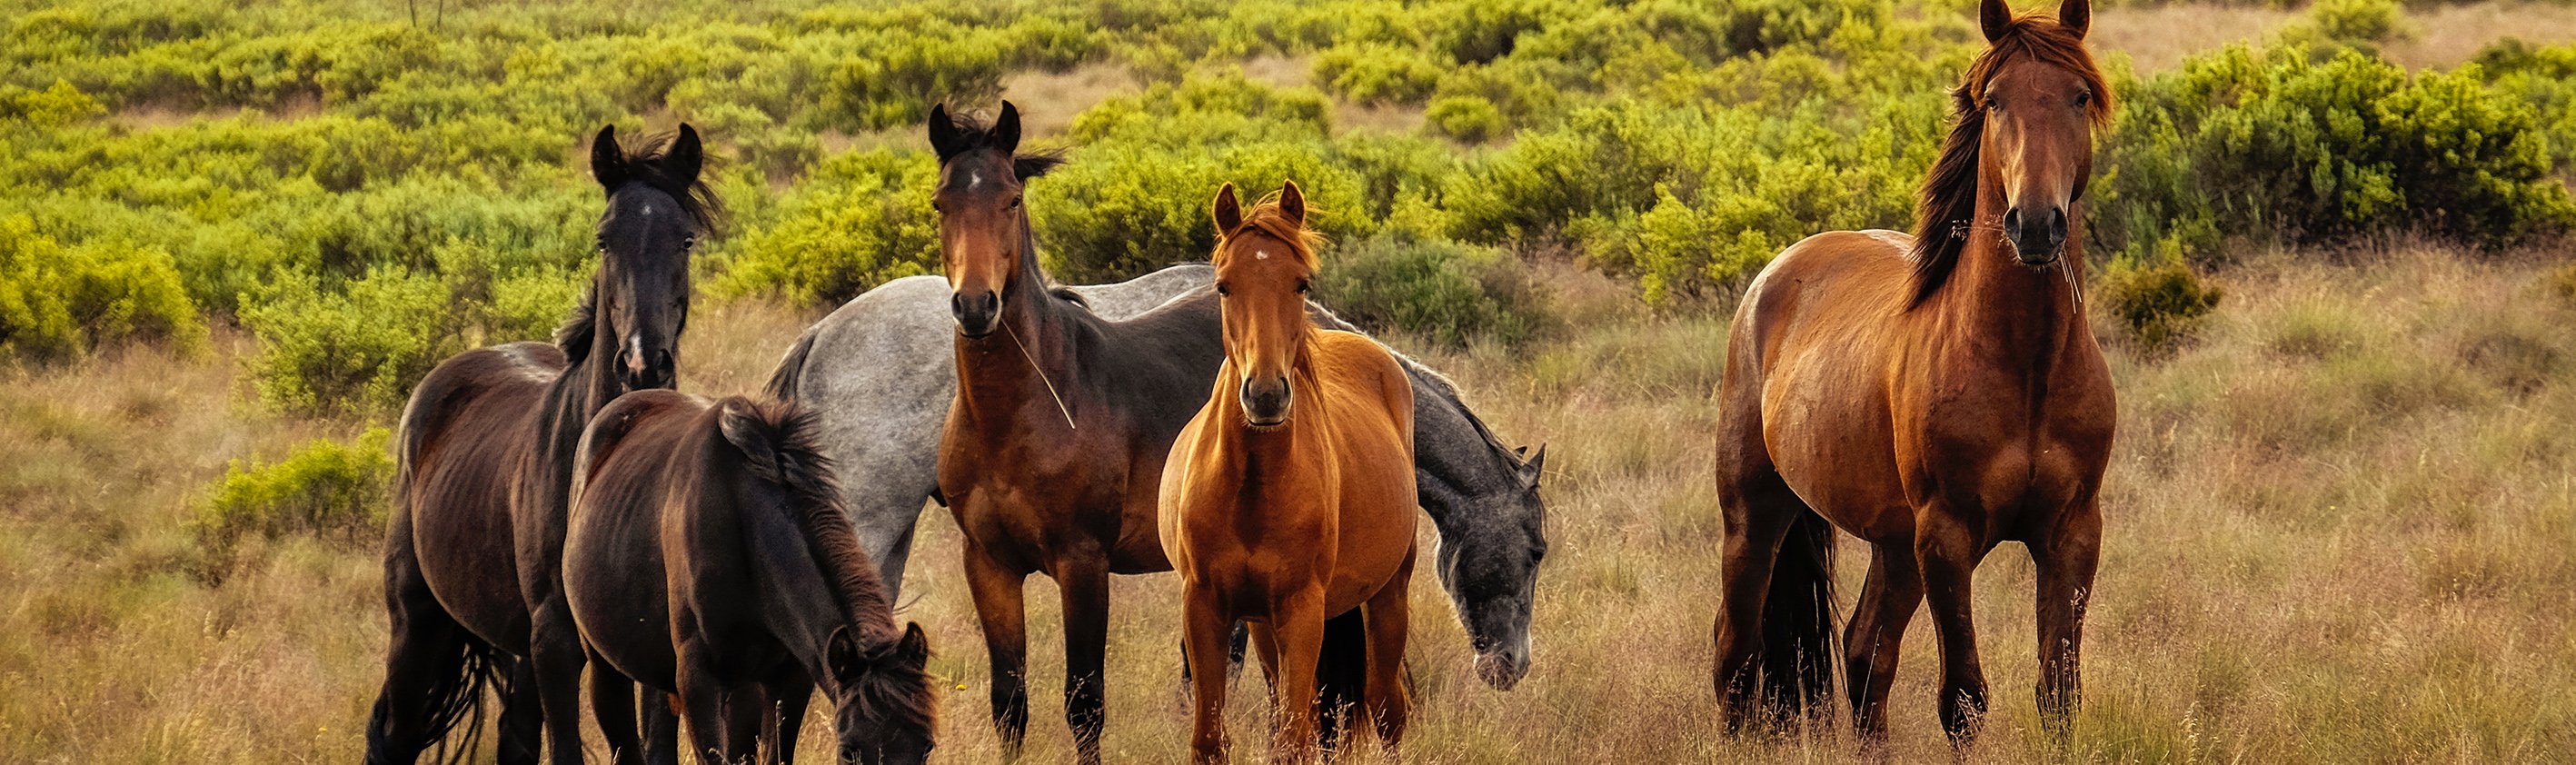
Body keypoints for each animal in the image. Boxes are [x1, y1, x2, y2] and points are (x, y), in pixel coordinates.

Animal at [363, 122, 716, 757]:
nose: (643, 364)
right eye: (603, 241)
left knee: (514, 737)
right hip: (418, 622)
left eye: (685, 241)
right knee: (395, 733)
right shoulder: (555, 642)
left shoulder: (651, 649)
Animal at [1164, 183, 1421, 762]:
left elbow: (1294, 740)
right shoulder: (1205, 607)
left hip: (1387, 595)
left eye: (1301, 282)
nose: (1265, 395)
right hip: (1264, 627)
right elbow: (1211, 739)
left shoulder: (1302, 610)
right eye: (1223, 286)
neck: (1251, 490)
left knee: (1387, 708)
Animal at [1710, 0, 2112, 747]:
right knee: (1735, 649)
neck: (2026, 367)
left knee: (1864, 651)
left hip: (1894, 544)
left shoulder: (2071, 533)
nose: (2035, 224)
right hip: (1755, 516)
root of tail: (1775, 274)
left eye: (2078, 97)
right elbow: (1964, 699)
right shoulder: (1947, 538)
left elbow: (2058, 694)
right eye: (1993, 100)